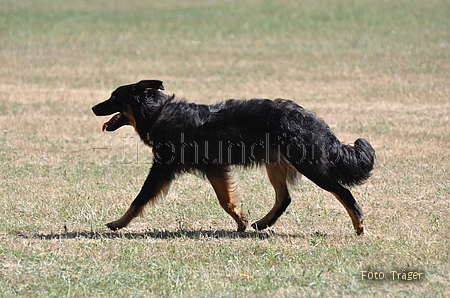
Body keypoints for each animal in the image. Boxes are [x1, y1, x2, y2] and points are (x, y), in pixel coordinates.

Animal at [90, 81, 372, 235]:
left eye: (114, 96)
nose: (93, 107)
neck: (159, 112)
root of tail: (310, 118)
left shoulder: (161, 169)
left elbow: (138, 200)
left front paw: (118, 223)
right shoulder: (215, 169)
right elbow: (225, 201)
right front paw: (241, 221)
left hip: (310, 166)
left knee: (343, 192)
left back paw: (358, 224)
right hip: (275, 163)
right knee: (284, 198)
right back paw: (264, 222)